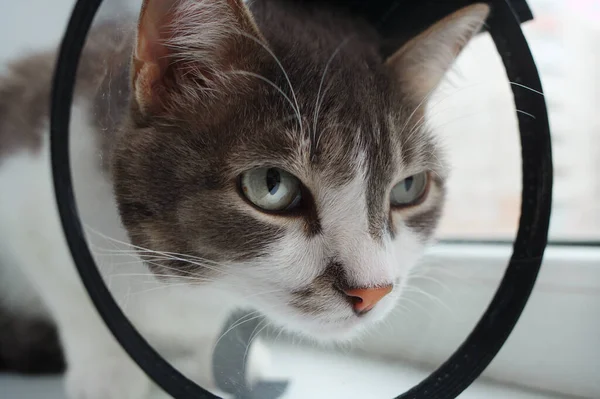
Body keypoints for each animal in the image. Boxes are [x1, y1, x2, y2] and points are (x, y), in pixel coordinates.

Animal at [0, 0, 488, 396]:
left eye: (408, 188)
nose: (373, 291)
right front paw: (110, 376)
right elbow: (76, 298)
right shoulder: (34, 185)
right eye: (271, 185)